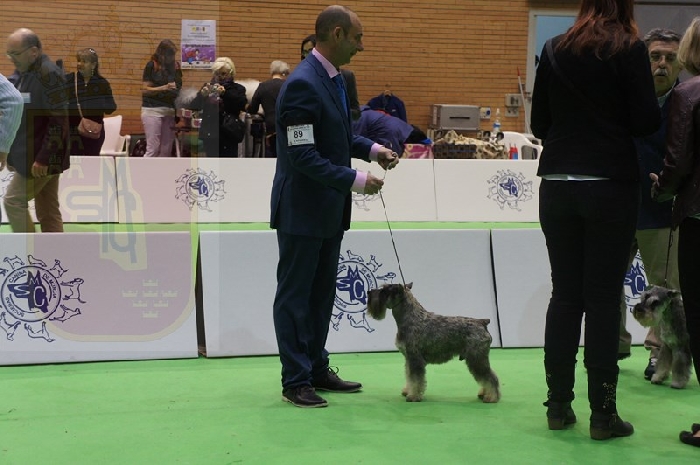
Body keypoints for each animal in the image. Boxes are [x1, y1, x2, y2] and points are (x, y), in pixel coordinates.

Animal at [366, 282, 500, 402]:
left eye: (384, 290)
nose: (368, 292)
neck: (410, 317)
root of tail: (482, 322)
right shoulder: (409, 359)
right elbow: (409, 376)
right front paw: (407, 391)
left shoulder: (415, 359)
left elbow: (416, 379)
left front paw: (413, 396)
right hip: (478, 359)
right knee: (486, 377)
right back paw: (484, 394)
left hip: (476, 359)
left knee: (490, 377)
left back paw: (491, 397)